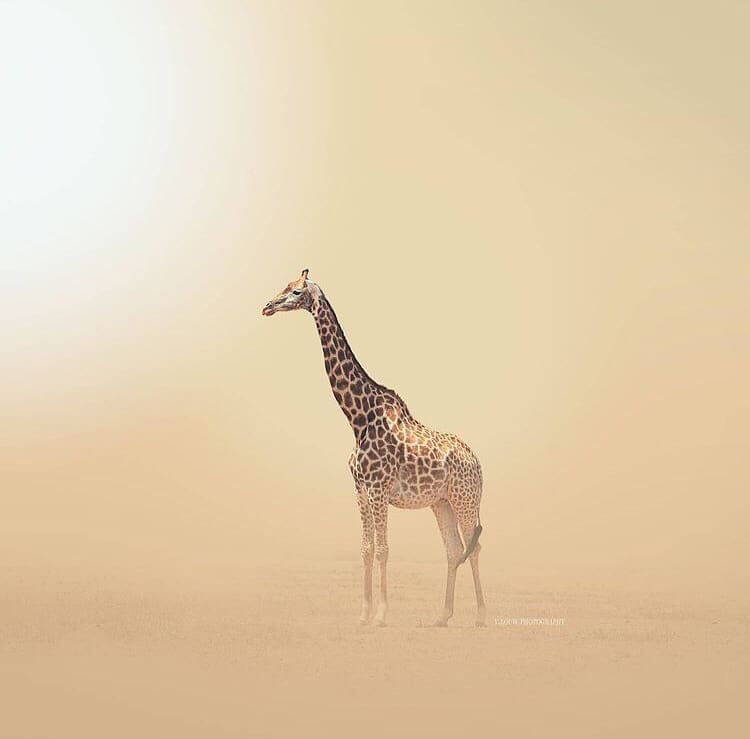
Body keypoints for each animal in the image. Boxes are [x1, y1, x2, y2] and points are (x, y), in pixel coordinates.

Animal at [262, 269, 486, 627]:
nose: (267, 306)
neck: (358, 418)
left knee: (473, 547)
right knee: (454, 550)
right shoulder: (360, 489)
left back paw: (480, 616)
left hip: (465, 499)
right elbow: (366, 549)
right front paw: (364, 613)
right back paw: (442, 616)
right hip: (442, 503)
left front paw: (381, 614)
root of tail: (478, 463)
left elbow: (383, 549)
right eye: (285, 286)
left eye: (296, 291)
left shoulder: (379, 488)